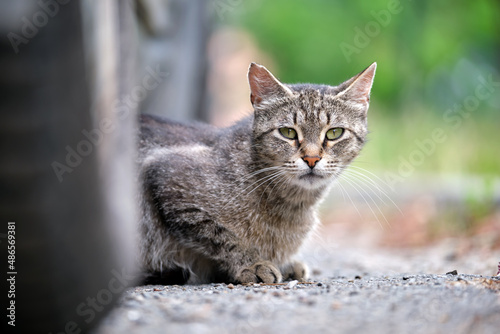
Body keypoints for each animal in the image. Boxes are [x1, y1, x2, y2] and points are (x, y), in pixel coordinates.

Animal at [137, 62, 376, 284]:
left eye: (334, 133)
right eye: (287, 132)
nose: (311, 158)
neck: (294, 204)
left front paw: (285, 264)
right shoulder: (168, 176)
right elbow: (220, 235)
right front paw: (252, 264)